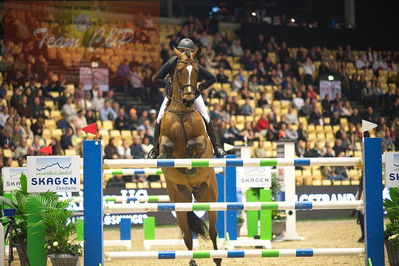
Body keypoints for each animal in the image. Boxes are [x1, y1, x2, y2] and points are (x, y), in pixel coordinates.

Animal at [159, 47, 222, 266]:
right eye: (178, 71)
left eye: (195, 72)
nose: (188, 98)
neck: (182, 111)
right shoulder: (165, 138)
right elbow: (167, 146)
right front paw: (168, 156)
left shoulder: (202, 141)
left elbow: (195, 143)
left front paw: (190, 161)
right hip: (180, 201)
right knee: (187, 235)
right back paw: (192, 261)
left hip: (209, 196)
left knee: (213, 232)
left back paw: (218, 258)